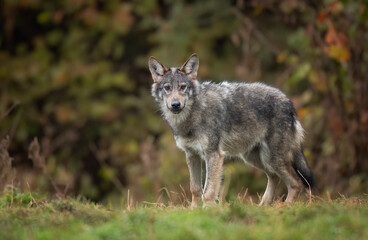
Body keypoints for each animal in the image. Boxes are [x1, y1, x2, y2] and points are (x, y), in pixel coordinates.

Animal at [148, 53, 314, 207]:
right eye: (167, 88)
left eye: (183, 87)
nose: (175, 104)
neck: (192, 116)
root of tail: (289, 103)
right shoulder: (191, 155)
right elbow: (194, 189)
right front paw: (193, 211)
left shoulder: (214, 155)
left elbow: (208, 190)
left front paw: (208, 210)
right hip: (256, 159)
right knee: (274, 177)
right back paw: (262, 207)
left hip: (273, 159)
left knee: (296, 182)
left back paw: (285, 207)